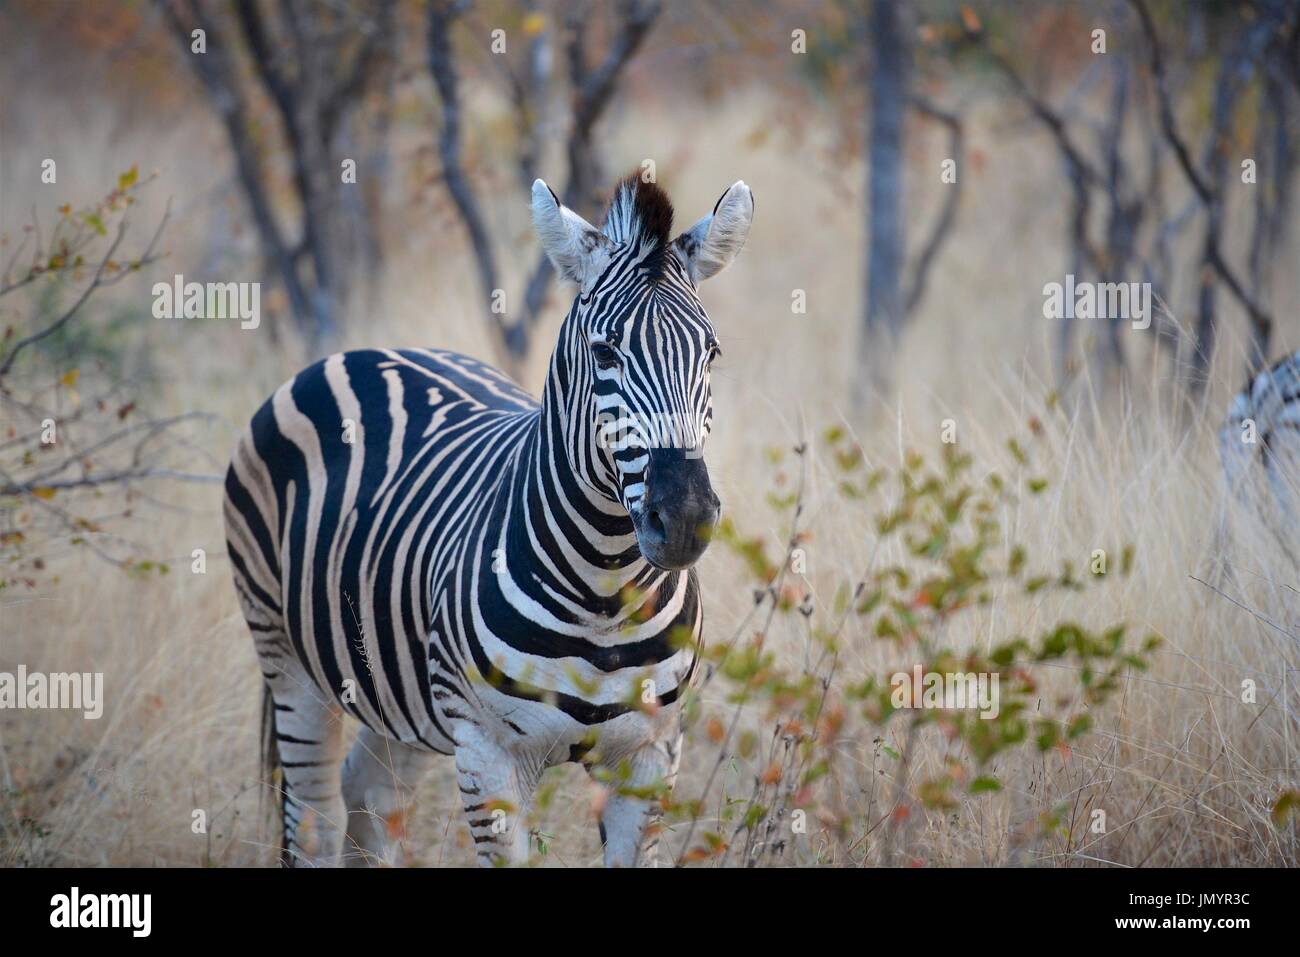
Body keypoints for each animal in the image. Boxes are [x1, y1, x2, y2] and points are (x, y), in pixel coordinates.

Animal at [222, 171, 754, 868]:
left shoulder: (650, 754)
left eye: (712, 354)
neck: (605, 592)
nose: (687, 518)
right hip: (288, 661)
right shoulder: (487, 754)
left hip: (403, 698)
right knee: (312, 818)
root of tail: (366, 349)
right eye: (605, 353)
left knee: (370, 796)